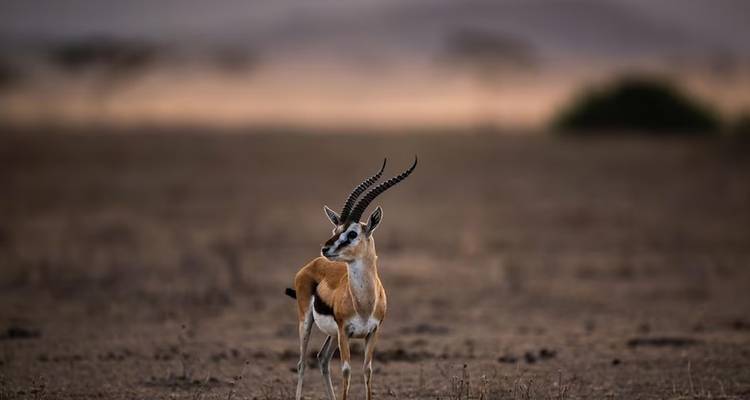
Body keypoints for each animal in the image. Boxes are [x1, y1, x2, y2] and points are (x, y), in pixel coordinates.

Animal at [285, 157, 417, 400]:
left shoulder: (372, 333)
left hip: (332, 335)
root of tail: (310, 265)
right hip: (306, 322)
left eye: (352, 233)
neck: (364, 303)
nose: (325, 248)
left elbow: (367, 370)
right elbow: (346, 370)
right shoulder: (344, 331)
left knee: (322, 359)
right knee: (301, 363)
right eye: (335, 229)